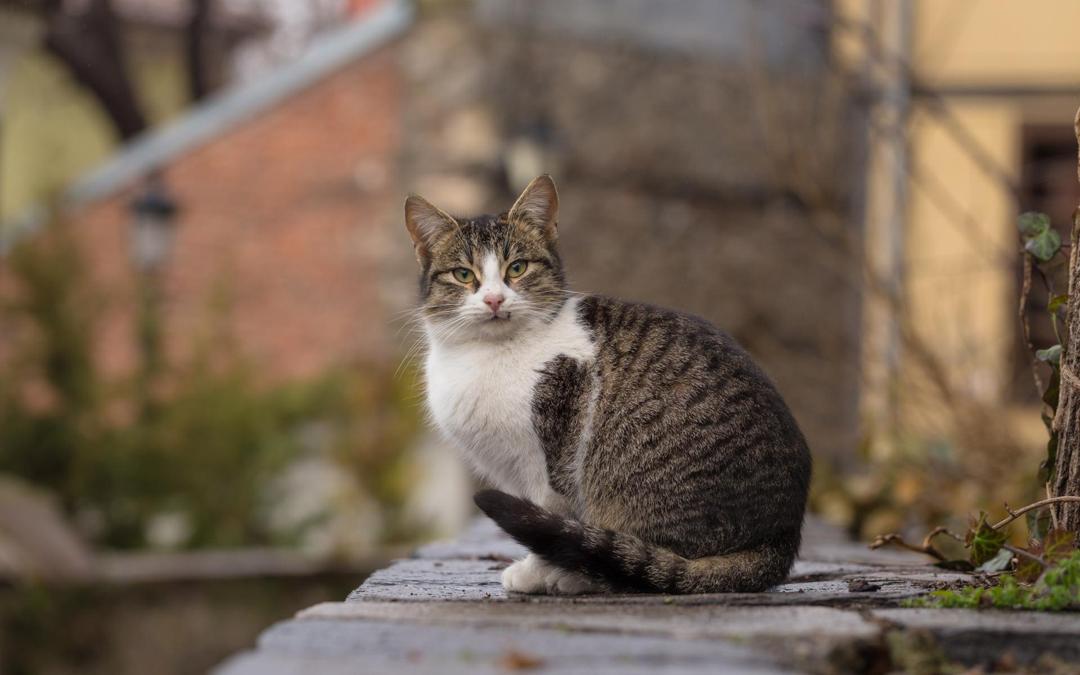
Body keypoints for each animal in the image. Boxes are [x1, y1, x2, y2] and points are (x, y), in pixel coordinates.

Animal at [406, 174, 812, 596]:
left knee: (641, 561)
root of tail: (779, 541)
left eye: (516, 268)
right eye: (463, 275)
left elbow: (548, 519)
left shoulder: (549, 460)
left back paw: (576, 575)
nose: (494, 299)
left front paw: (535, 571)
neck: (489, 353)